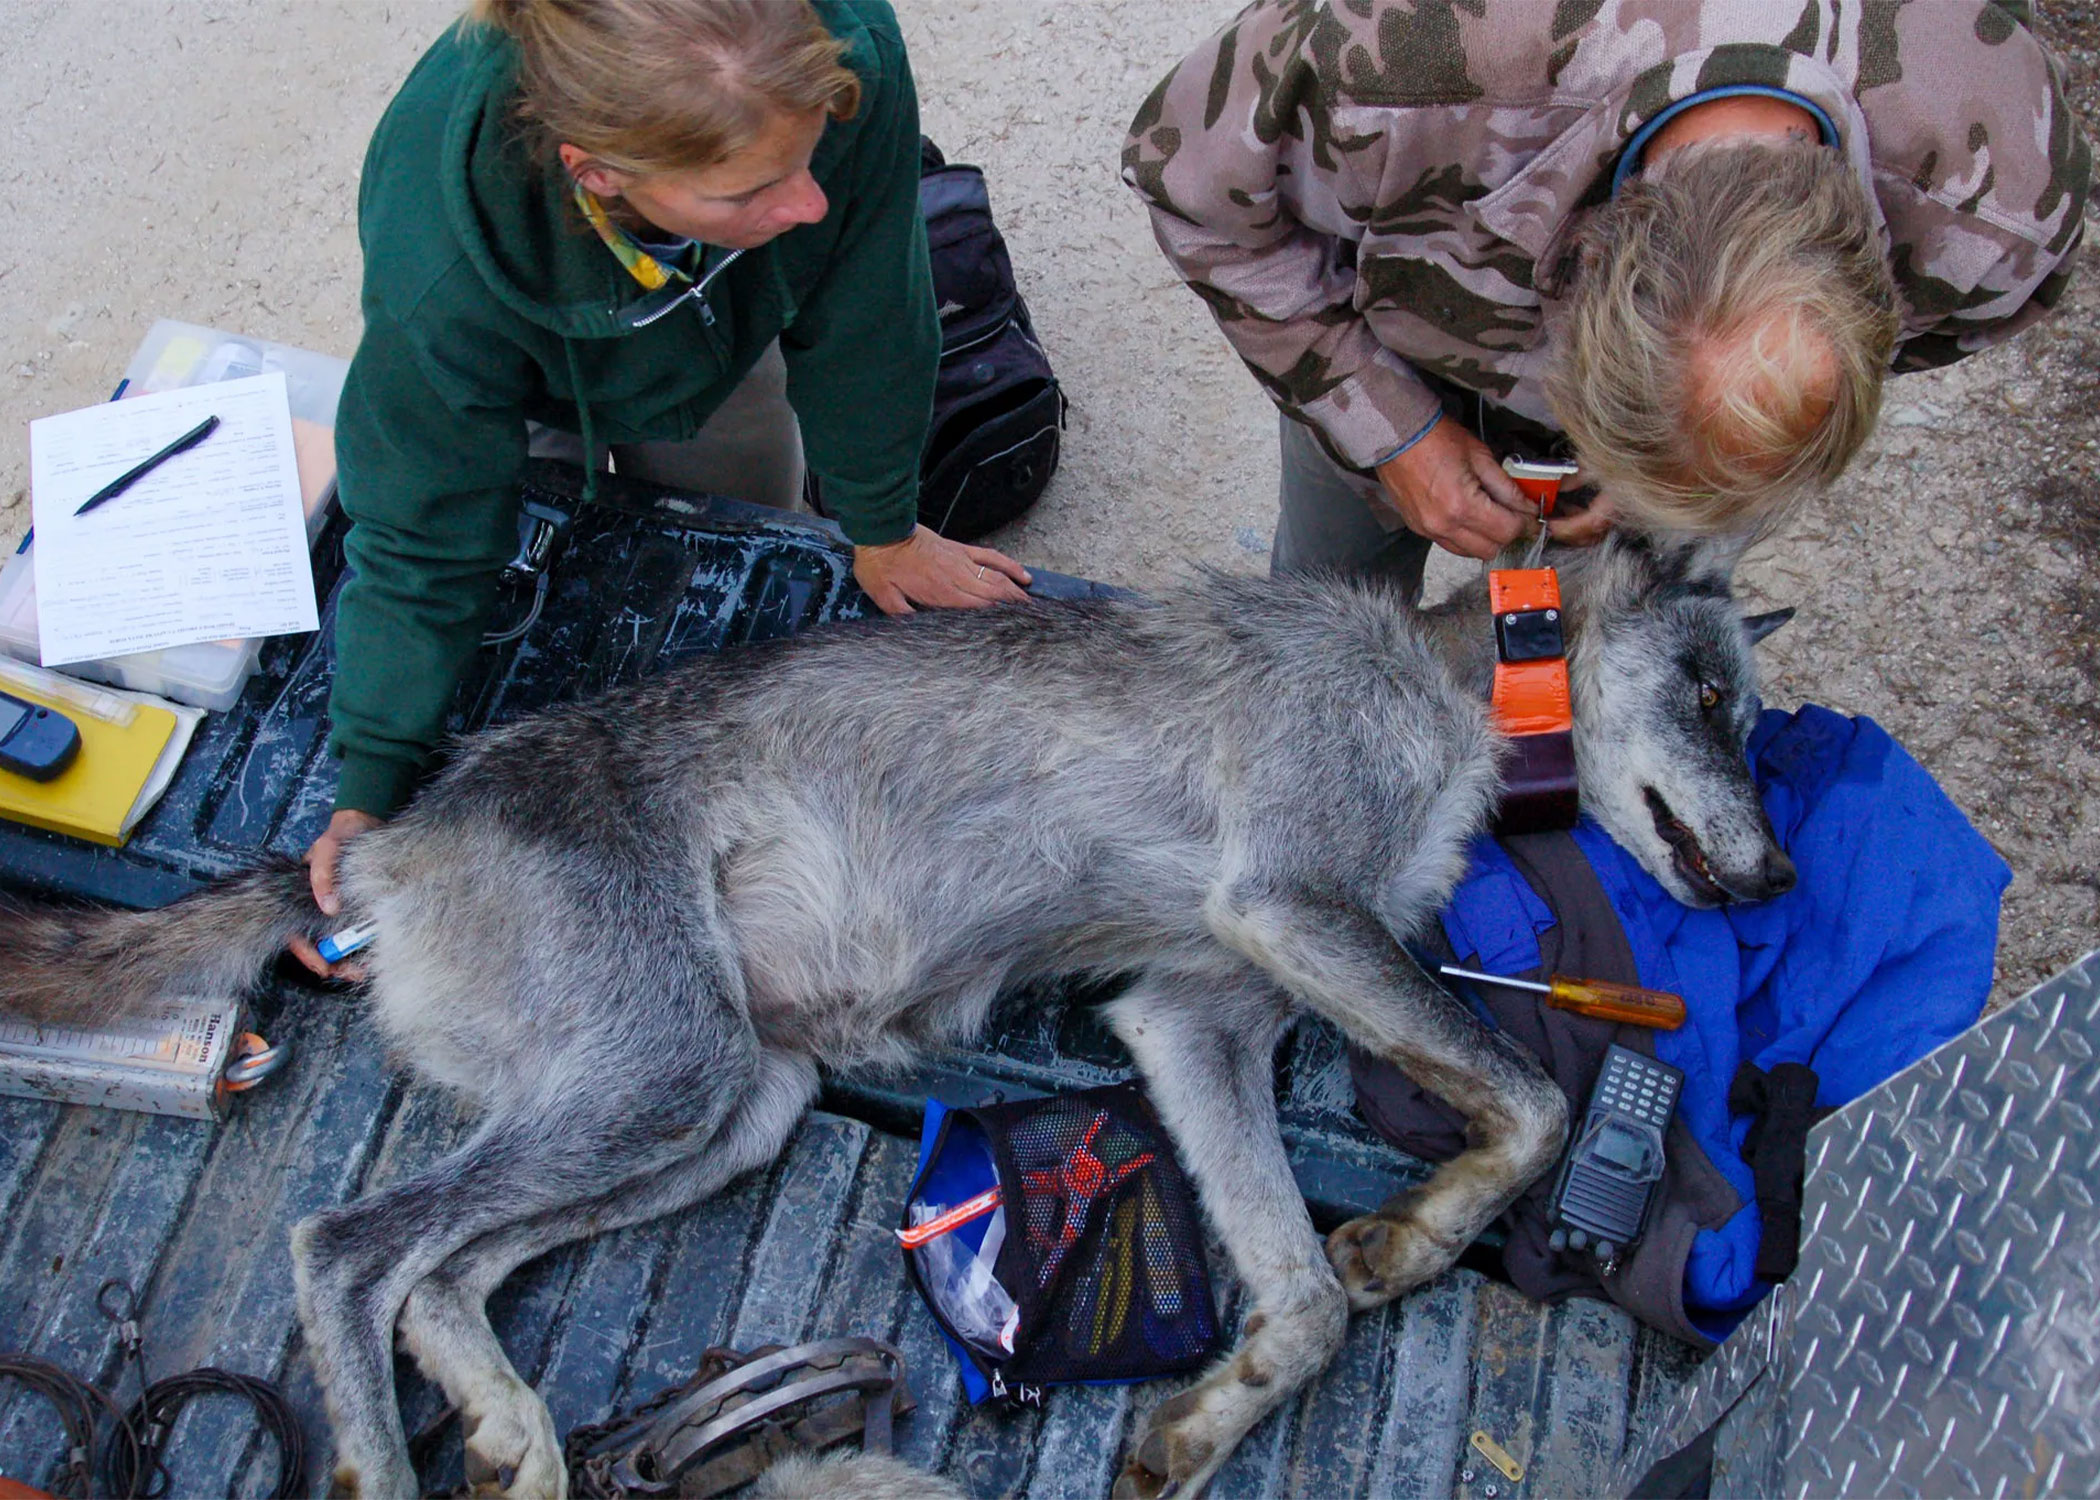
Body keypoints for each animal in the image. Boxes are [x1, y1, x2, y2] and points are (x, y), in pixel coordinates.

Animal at [0, 531, 1792, 1500]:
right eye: (1716, 702)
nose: (1775, 875)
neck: (1458, 689)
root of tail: (382, 841)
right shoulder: (1288, 909)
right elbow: (1534, 1101)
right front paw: (1419, 1236)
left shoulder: (1192, 1019)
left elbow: (1303, 1307)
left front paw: (1212, 1413)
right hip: (661, 1080)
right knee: (345, 1247)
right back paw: (395, 1449)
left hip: (721, 1110)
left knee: (443, 1273)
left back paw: (511, 1431)